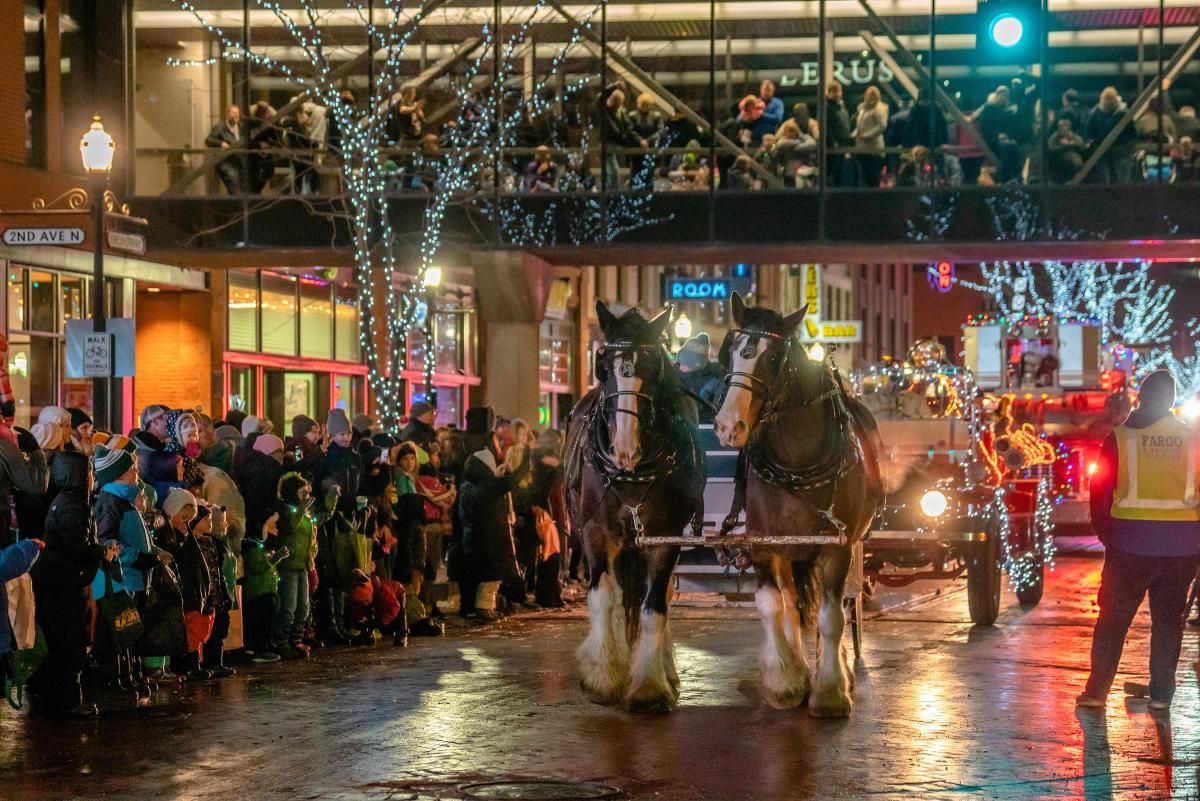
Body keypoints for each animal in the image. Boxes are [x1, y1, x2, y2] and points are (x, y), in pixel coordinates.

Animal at [561, 302, 700, 714]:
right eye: (602, 366)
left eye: (653, 367)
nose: (624, 450)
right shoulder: (595, 533)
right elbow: (605, 597)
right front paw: (603, 678)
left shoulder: (665, 536)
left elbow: (654, 605)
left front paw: (651, 687)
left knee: (659, 596)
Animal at [710, 293, 883, 719]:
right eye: (730, 351)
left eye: (773, 359)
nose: (728, 426)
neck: (796, 462)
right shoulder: (765, 545)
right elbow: (774, 606)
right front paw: (786, 682)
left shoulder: (836, 549)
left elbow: (831, 615)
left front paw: (831, 691)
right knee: (791, 604)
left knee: (833, 603)